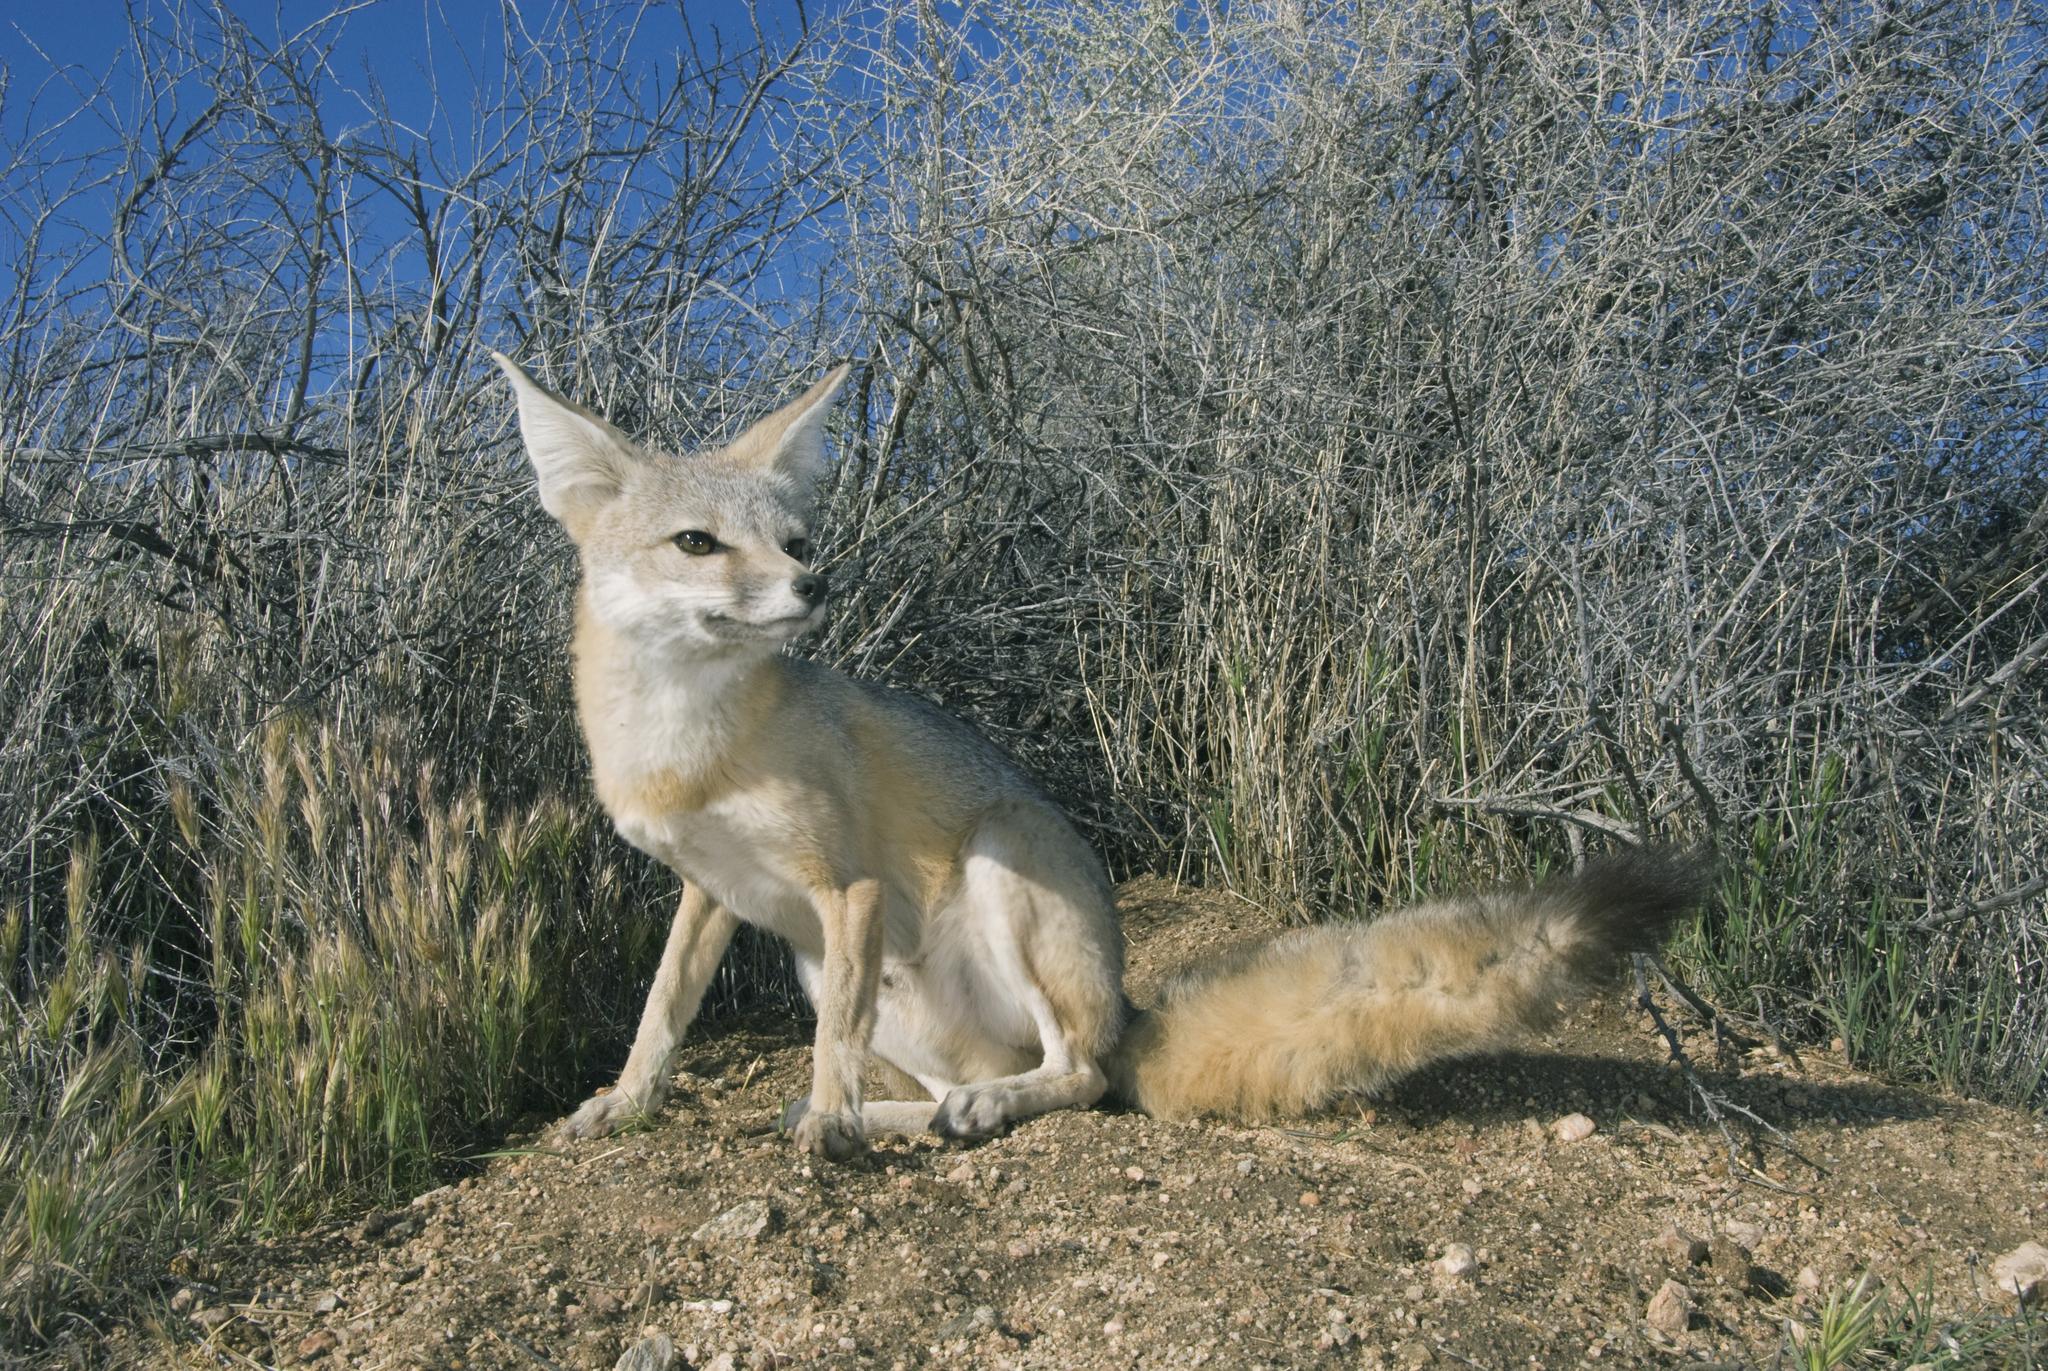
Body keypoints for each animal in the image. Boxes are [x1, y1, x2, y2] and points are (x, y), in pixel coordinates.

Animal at [492, 352, 1702, 1159]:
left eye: (793, 541)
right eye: (698, 543)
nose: (814, 585)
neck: (686, 747)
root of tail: (1126, 1013)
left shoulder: (846, 887)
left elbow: (825, 1040)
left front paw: (831, 1125)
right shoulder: (713, 891)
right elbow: (660, 1016)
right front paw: (625, 1104)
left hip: (998, 866)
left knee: (1073, 1074)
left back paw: (947, 1111)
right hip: (830, 961)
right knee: (986, 1072)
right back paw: (914, 1113)